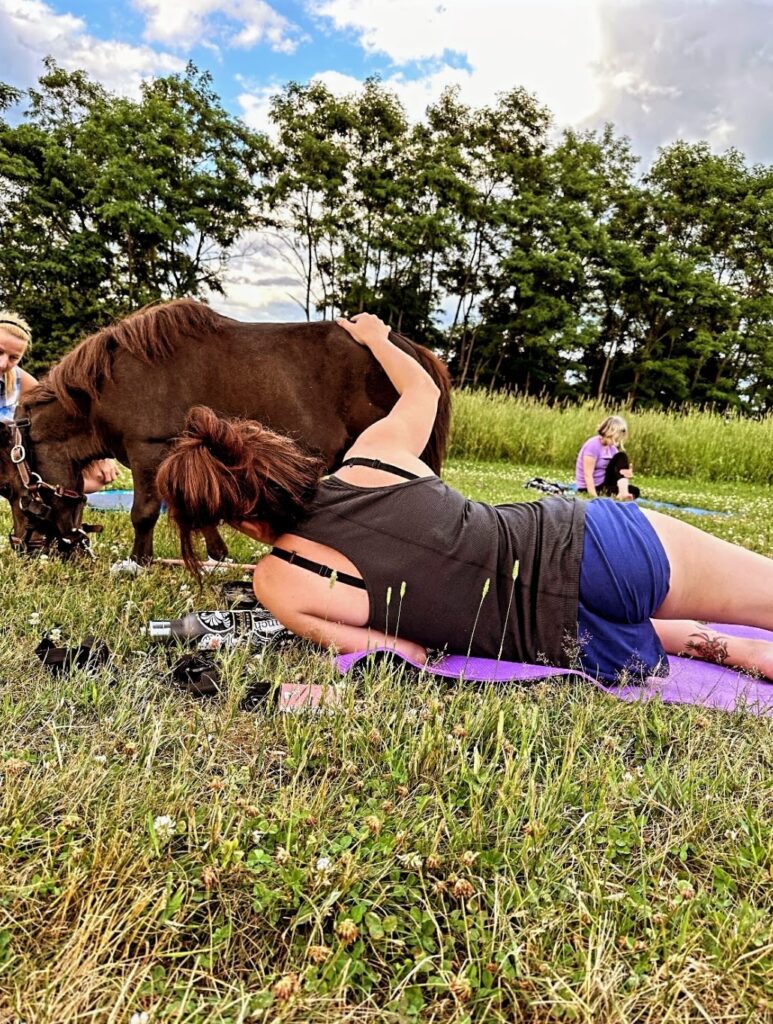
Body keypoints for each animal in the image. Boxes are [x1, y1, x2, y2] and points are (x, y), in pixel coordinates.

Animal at [0, 300, 451, 562]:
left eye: (6, 489)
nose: (21, 547)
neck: (108, 387)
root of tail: (413, 351)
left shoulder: (148, 452)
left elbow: (143, 513)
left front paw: (139, 562)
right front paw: (218, 554)